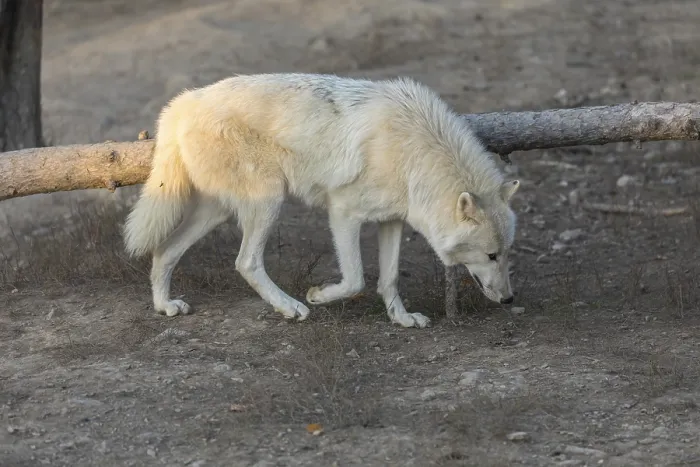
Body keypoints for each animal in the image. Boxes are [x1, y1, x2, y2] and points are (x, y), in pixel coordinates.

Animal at [123, 73, 520, 329]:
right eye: (491, 256)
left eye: (506, 253)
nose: (509, 300)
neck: (414, 152)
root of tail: (184, 102)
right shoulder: (343, 213)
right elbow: (356, 279)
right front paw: (317, 296)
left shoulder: (391, 220)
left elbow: (389, 278)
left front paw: (402, 319)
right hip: (269, 200)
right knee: (246, 262)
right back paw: (292, 308)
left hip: (216, 211)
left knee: (165, 251)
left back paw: (165, 306)